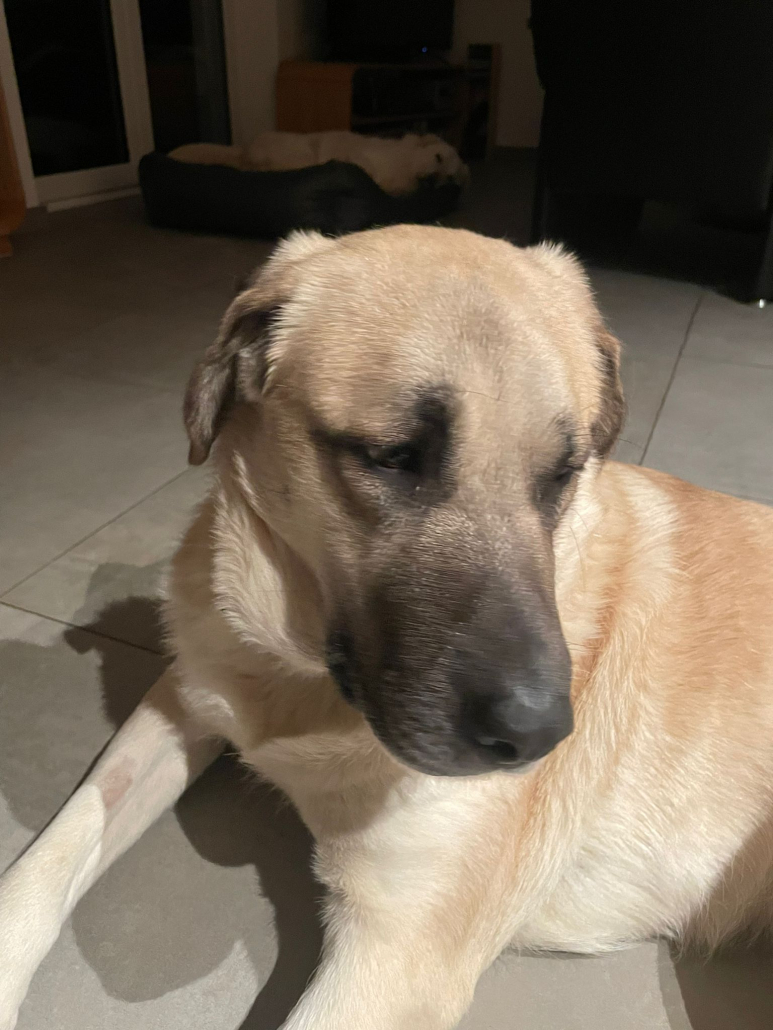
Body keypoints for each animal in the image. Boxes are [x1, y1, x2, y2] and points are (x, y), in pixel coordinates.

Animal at [1, 225, 773, 1030]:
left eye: (562, 474)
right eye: (393, 456)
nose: (539, 736)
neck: (300, 677)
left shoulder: (397, 954)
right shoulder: (181, 697)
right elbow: (53, 853)